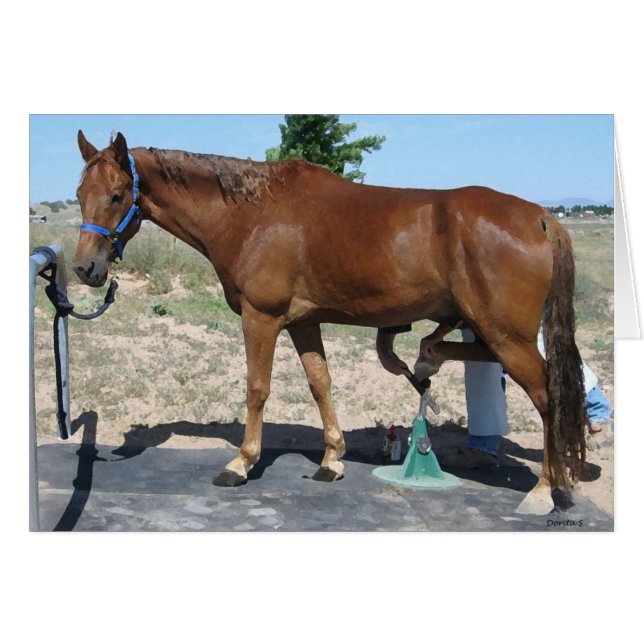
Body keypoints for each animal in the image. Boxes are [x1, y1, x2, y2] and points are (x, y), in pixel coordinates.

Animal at [73, 130, 587, 515]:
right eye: (80, 194)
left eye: (117, 195)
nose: (85, 269)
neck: (252, 215)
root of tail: (541, 218)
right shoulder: (303, 323)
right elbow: (321, 383)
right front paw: (332, 459)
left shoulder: (262, 318)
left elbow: (257, 388)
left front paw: (241, 463)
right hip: (490, 330)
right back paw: (426, 359)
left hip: (508, 337)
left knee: (549, 398)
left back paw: (545, 489)